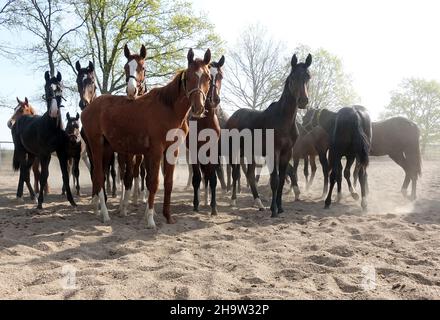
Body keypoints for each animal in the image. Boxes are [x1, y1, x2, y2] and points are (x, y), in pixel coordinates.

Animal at [11, 71, 76, 209]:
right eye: (46, 88)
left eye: (60, 89)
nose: (54, 111)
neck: (52, 127)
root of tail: (18, 121)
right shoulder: (45, 155)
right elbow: (43, 175)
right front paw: (40, 203)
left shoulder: (61, 153)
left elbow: (65, 175)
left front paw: (72, 201)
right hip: (21, 151)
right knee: (24, 172)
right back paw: (30, 198)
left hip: (31, 154)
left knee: (25, 171)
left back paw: (29, 197)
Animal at [82, 48, 213, 226]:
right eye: (189, 77)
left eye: (208, 77)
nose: (198, 108)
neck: (169, 108)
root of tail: (88, 108)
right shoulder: (156, 150)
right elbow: (153, 182)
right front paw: (150, 219)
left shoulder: (172, 151)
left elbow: (168, 183)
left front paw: (168, 216)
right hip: (96, 145)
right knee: (98, 176)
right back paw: (105, 214)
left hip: (107, 148)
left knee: (99, 177)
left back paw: (98, 210)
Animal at [225, 53, 312, 218]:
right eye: (293, 77)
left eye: (308, 77)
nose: (303, 101)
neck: (283, 119)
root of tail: (232, 117)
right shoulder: (274, 152)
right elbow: (275, 180)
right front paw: (274, 210)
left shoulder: (286, 153)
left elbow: (283, 179)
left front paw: (280, 207)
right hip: (235, 151)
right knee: (235, 174)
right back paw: (233, 201)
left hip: (250, 153)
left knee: (250, 175)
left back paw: (259, 203)